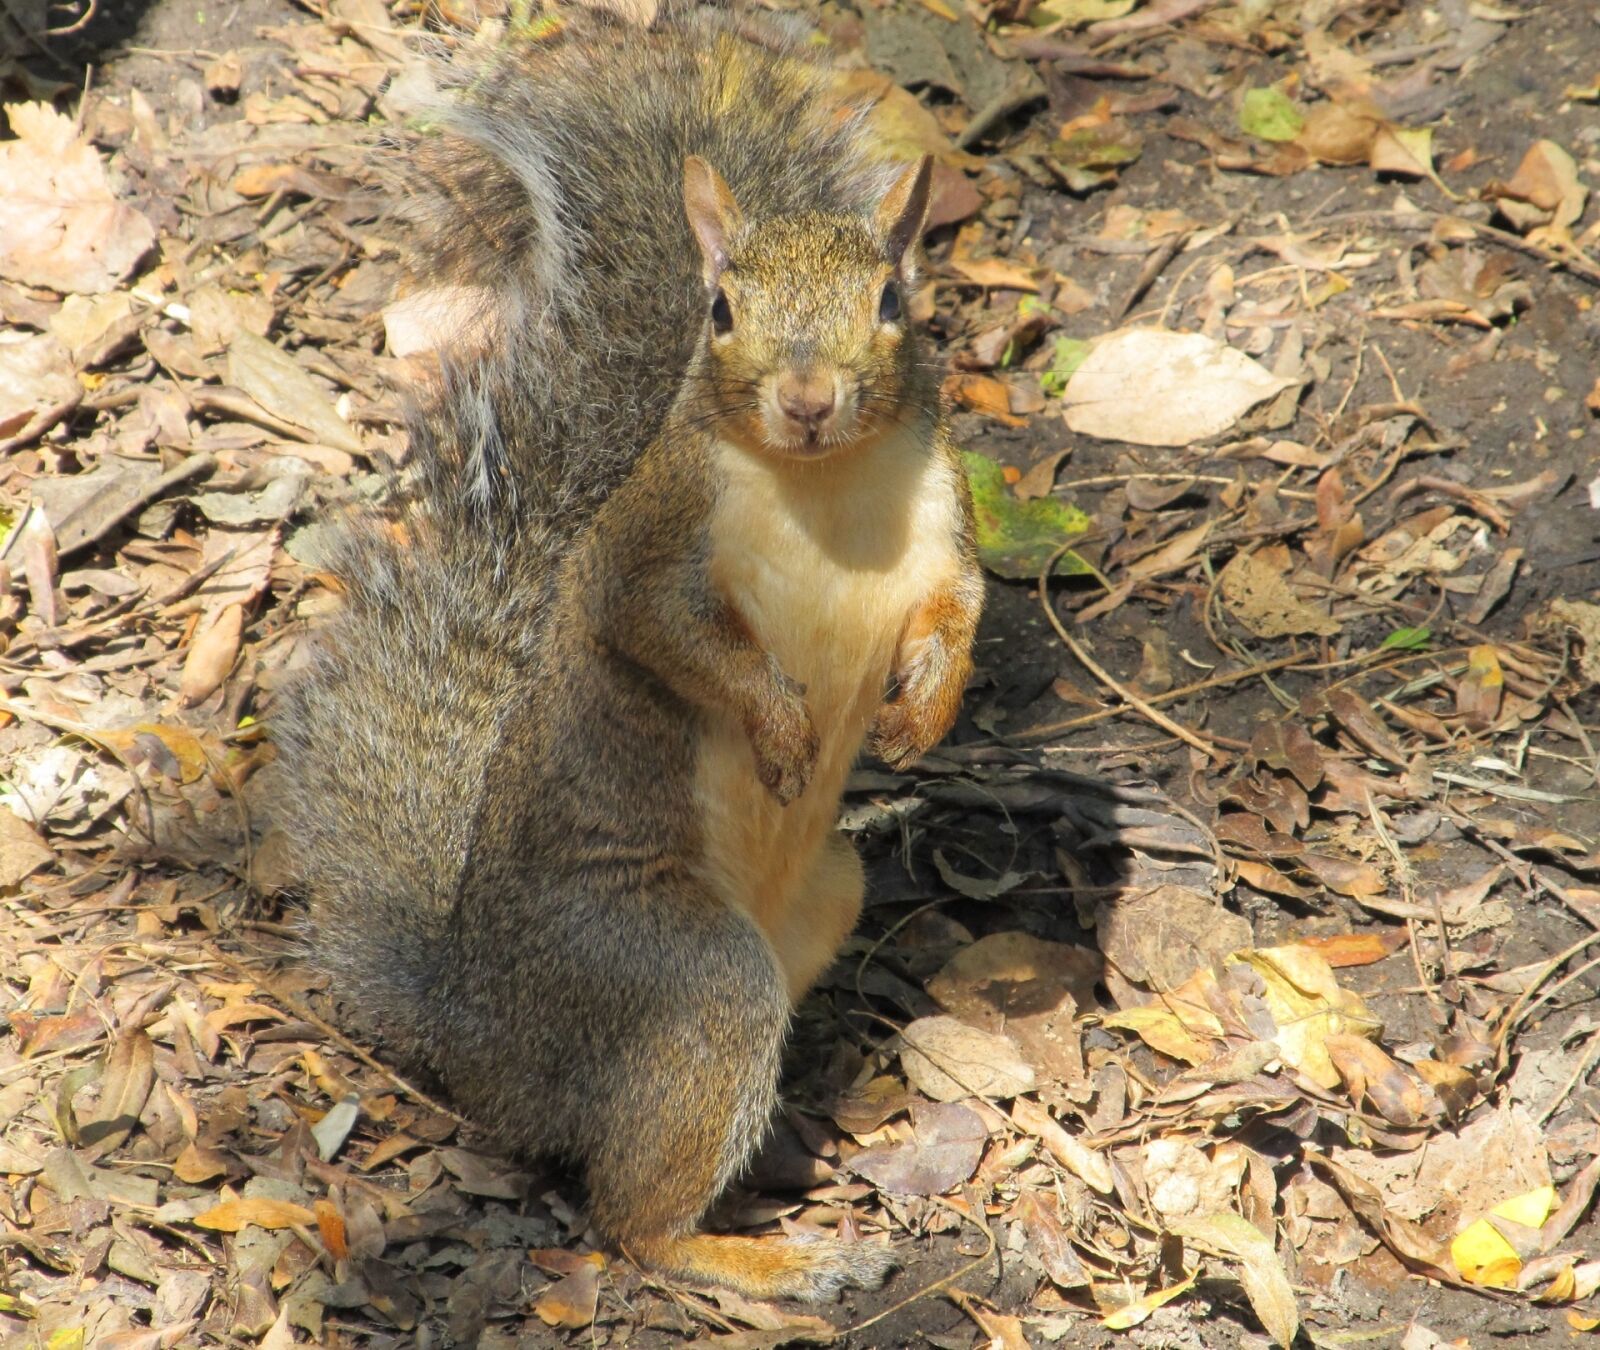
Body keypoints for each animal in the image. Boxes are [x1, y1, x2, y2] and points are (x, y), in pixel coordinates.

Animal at [271, 3, 984, 1302]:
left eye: (891, 303)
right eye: (722, 312)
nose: (809, 399)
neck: (825, 491)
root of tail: (476, 1030)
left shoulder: (944, 532)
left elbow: (960, 613)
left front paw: (923, 713)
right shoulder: (644, 551)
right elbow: (662, 638)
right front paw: (780, 725)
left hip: (823, 897)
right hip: (678, 979)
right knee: (627, 1219)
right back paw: (757, 1260)